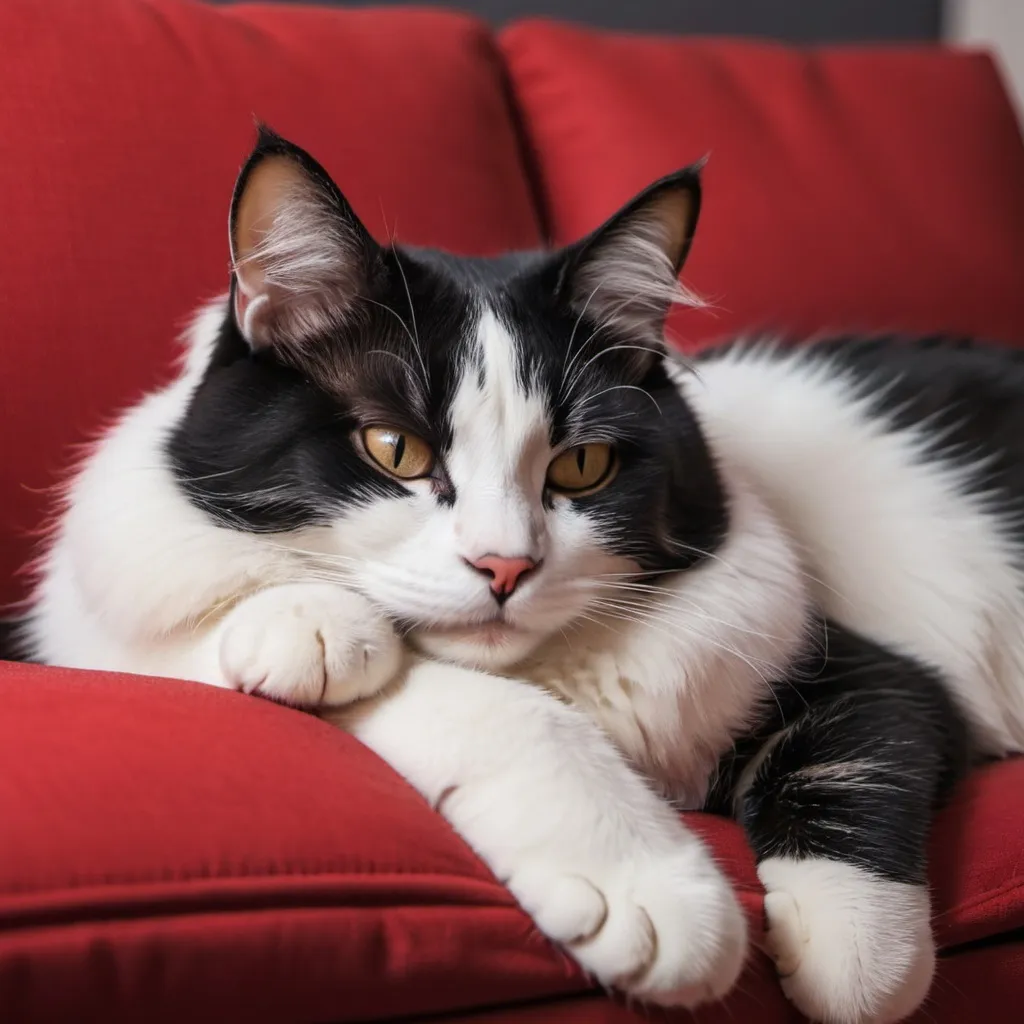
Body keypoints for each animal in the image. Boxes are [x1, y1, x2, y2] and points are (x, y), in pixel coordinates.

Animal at [22, 130, 1024, 1024]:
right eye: (395, 450)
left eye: (581, 467)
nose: (506, 565)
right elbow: (493, 708)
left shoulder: (868, 669)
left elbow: (856, 783)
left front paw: (845, 954)